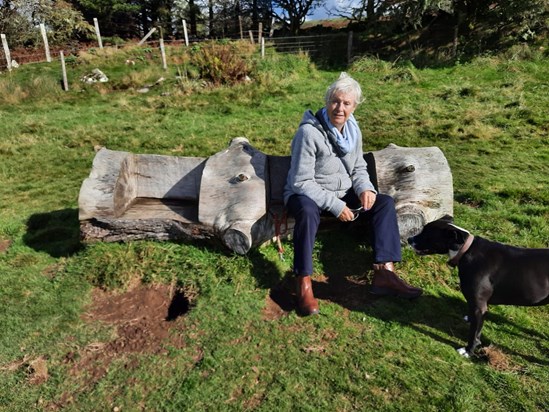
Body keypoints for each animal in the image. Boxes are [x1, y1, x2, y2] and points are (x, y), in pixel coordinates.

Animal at [406, 216, 548, 358]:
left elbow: (474, 334)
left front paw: (468, 351)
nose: (409, 239)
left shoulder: (479, 307)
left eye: (427, 234)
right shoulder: (476, 304)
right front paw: (470, 321)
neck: (465, 250)